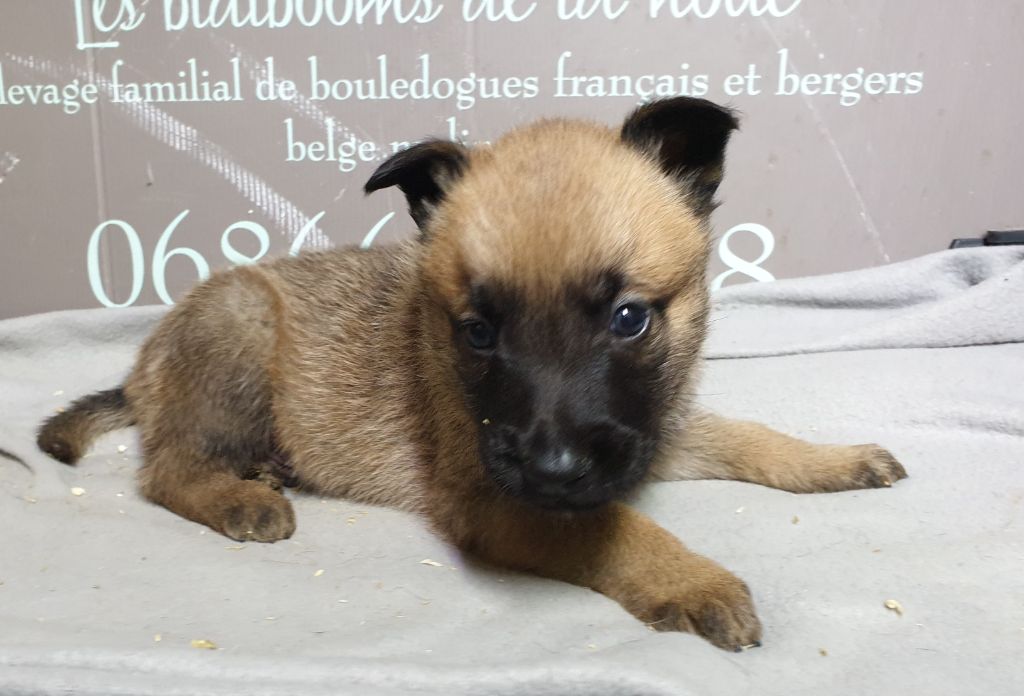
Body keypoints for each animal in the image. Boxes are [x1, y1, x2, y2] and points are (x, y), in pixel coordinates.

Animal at [38, 97, 907, 651]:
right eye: (479, 333)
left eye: (629, 318)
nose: (552, 467)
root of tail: (146, 366)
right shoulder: (497, 499)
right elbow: (615, 527)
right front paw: (692, 580)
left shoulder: (649, 433)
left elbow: (745, 436)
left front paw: (832, 460)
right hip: (242, 324)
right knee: (167, 470)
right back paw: (238, 497)